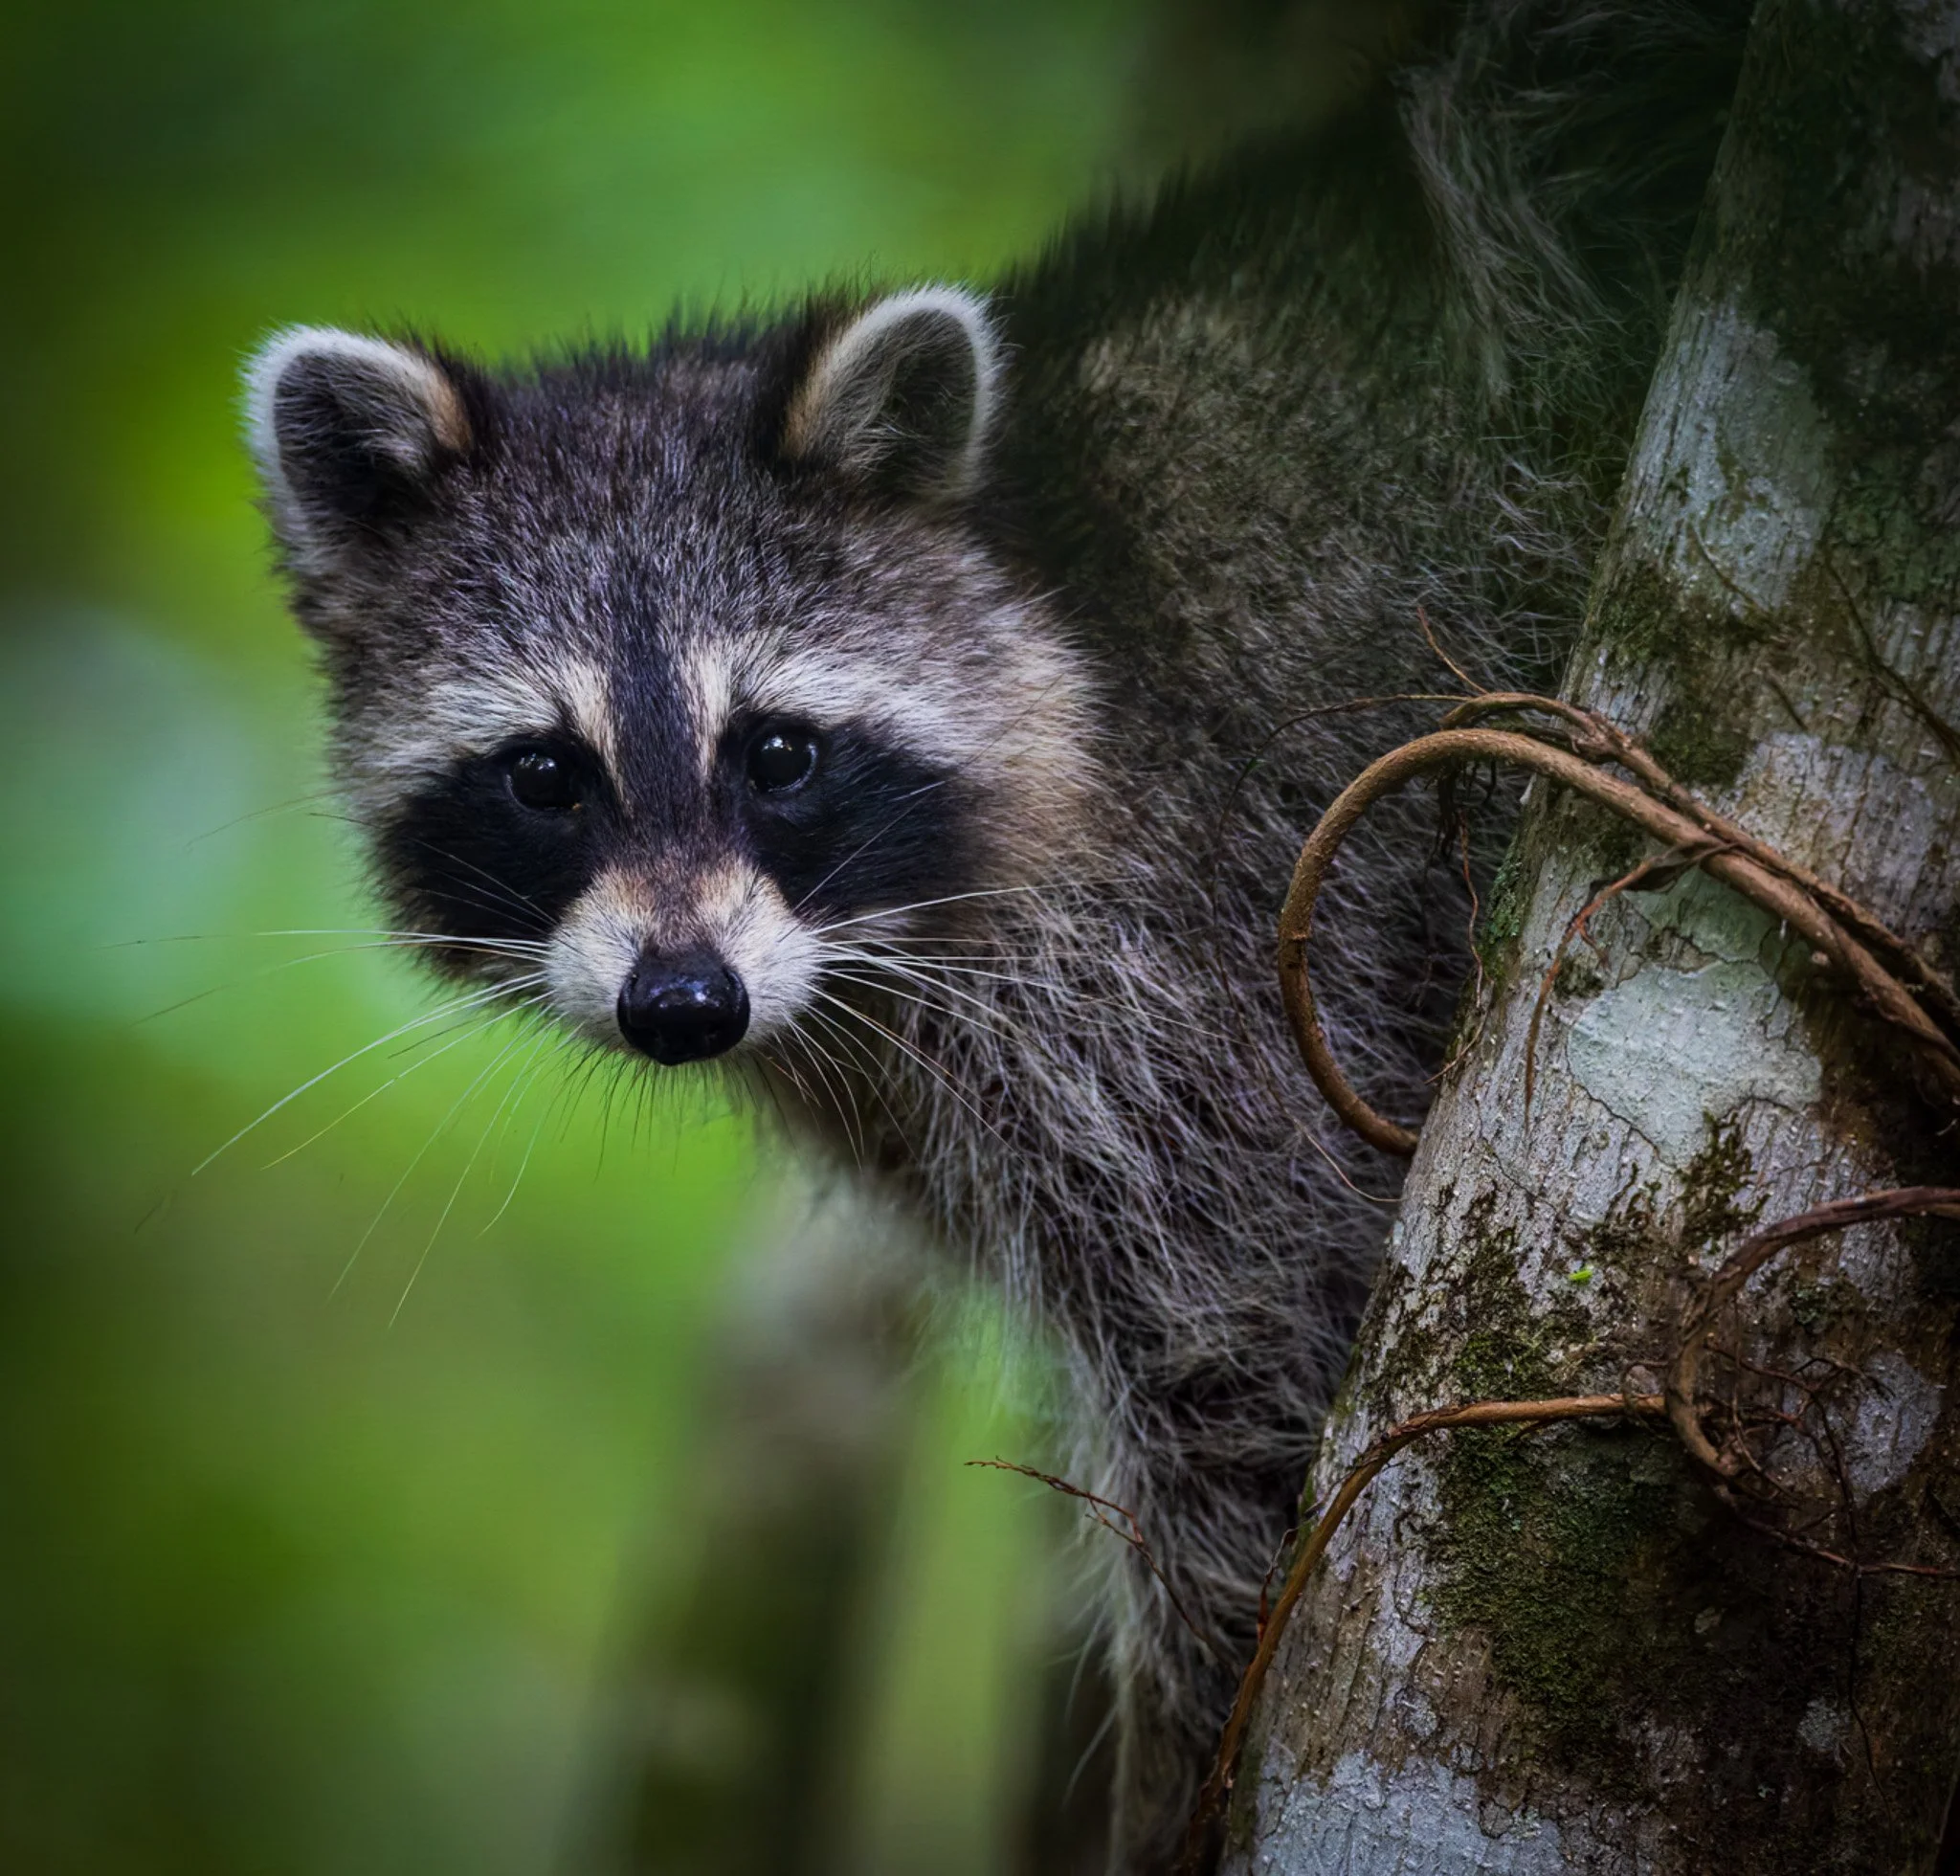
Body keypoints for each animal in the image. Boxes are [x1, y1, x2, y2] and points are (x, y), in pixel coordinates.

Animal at [243, 5, 1746, 1866]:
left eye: (778, 753)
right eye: (543, 776)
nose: (683, 1004)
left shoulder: (1193, 959)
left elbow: (1249, 1354)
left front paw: (1184, 1771)